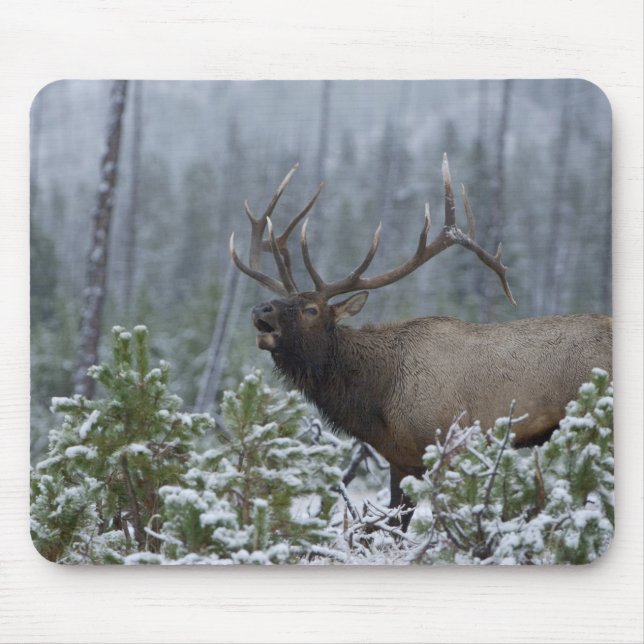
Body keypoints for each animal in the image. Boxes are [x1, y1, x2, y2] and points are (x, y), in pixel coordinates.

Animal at [229, 155, 612, 529]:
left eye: (311, 309)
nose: (260, 309)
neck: (378, 398)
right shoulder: (401, 460)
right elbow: (394, 524)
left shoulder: (450, 443)